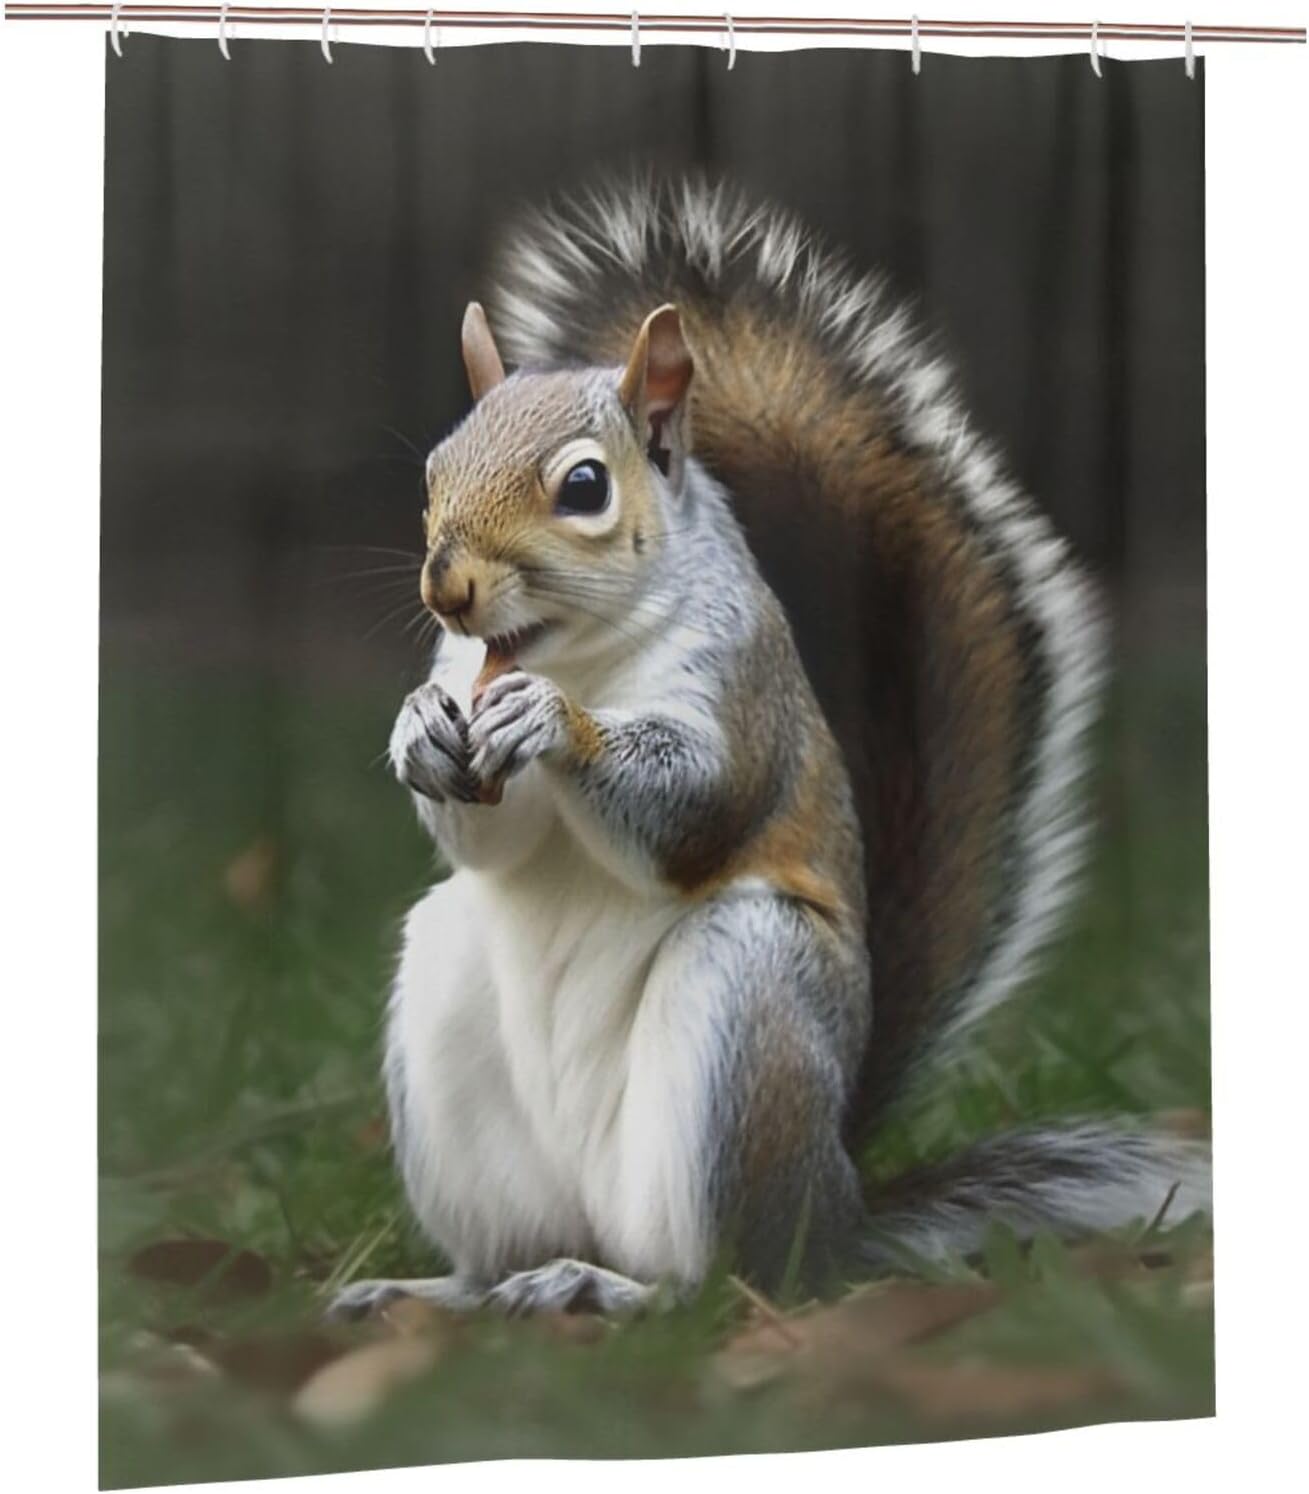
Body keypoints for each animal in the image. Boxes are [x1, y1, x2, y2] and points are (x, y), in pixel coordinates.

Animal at [331, 176, 1210, 1320]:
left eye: (583, 487)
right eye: (434, 471)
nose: (449, 587)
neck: (580, 655)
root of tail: (837, 1209)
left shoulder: (741, 689)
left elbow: (697, 809)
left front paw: (551, 725)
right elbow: (488, 835)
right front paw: (419, 731)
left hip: (746, 1014)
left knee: (727, 1281)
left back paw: (613, 1291)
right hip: (458, 1027)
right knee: (508, 1249)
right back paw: (445, 1292)